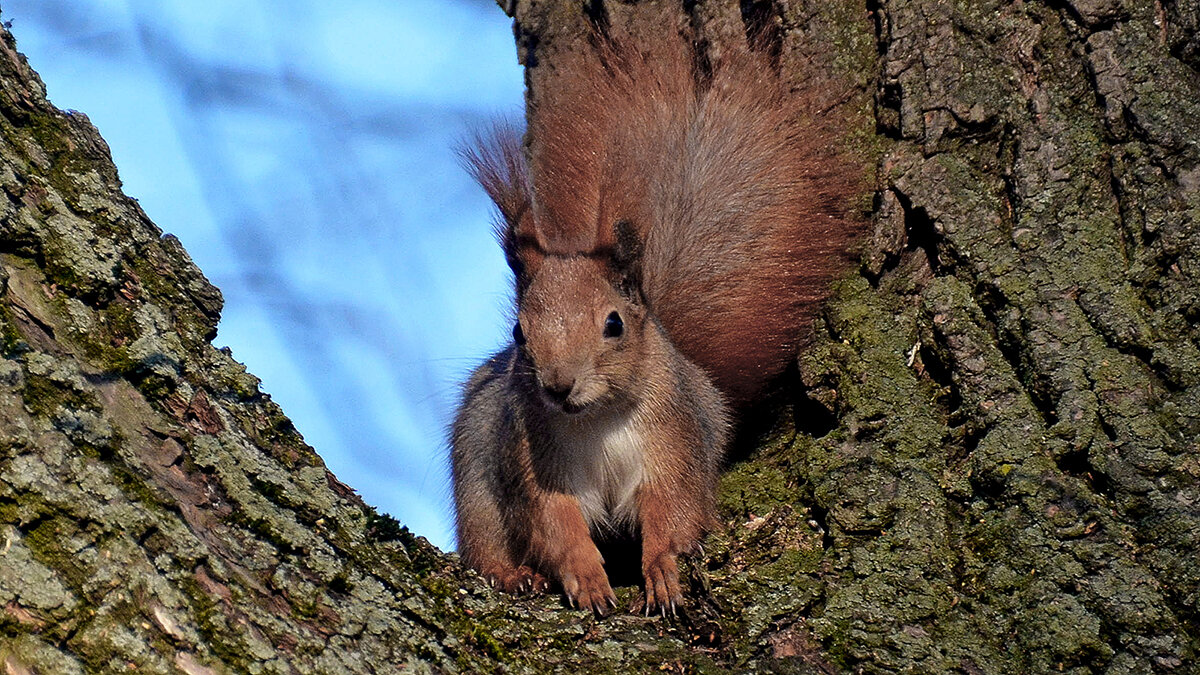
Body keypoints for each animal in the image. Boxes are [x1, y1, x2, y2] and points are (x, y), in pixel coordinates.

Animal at [448, 28, 854, 612]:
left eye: (614, 324)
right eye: (518, 332)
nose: (558, 386)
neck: (596, 419)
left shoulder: (674, 441)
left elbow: (673, 509)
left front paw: (663, 569)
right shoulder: (530, 460)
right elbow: (554, 523)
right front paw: (586, 576)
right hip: (476, 485)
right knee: (486, 542)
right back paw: (512, 575)